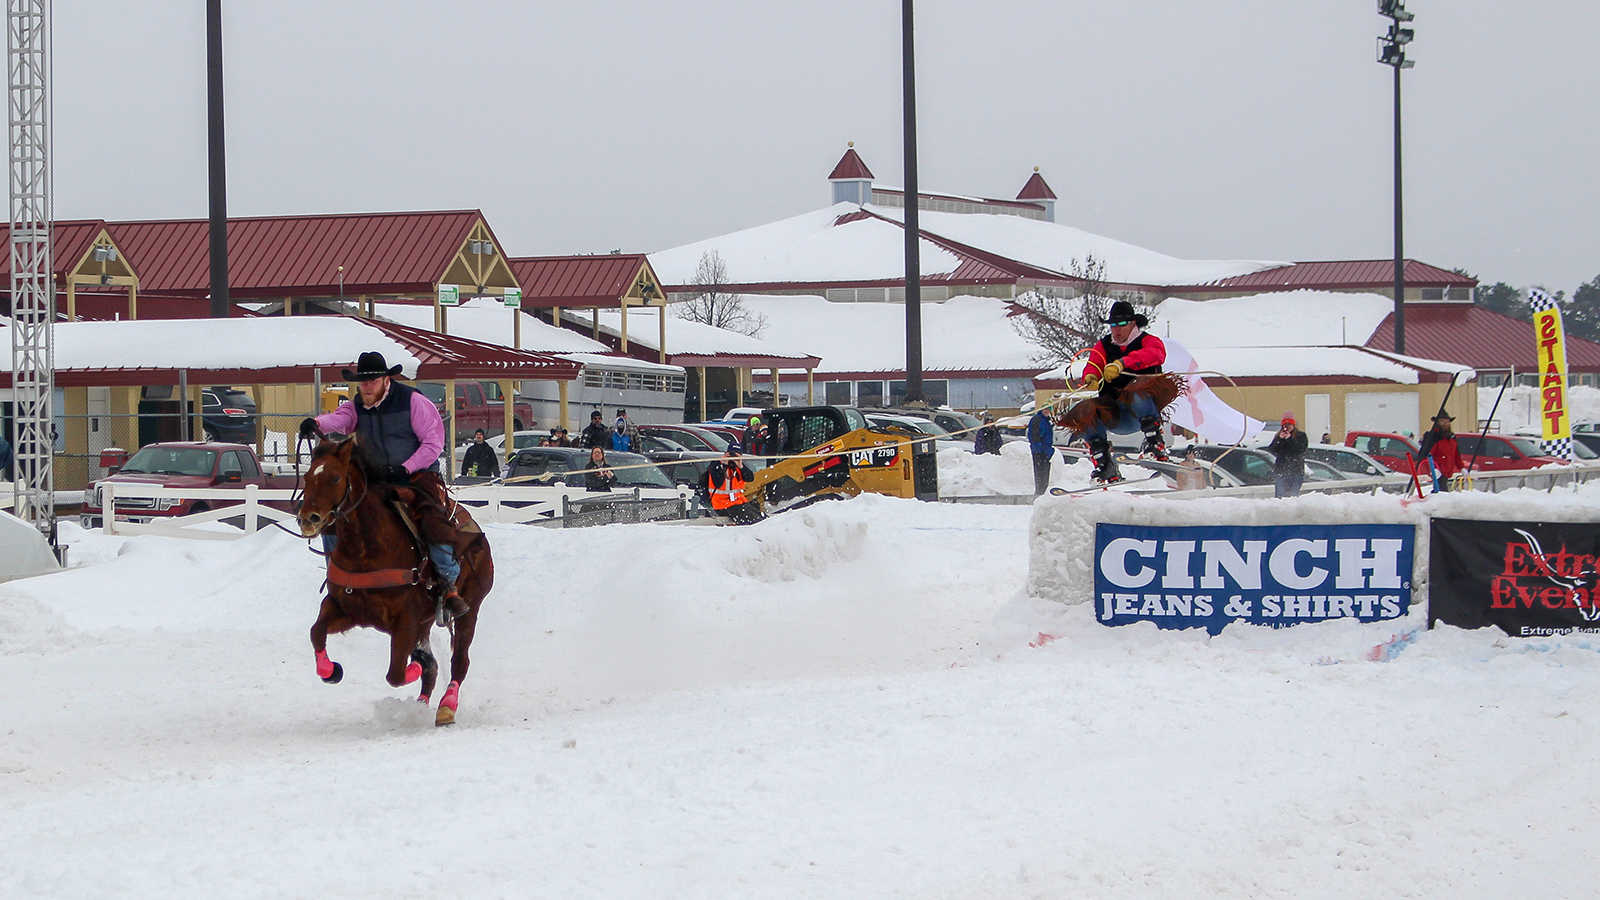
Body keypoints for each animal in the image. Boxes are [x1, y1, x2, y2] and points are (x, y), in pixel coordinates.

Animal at [296, 432, 489, 720]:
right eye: (307, 477)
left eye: (335, 478)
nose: (308, 519)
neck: (365, 551)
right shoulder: (345, 609)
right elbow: (316, 632)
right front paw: (330, 671)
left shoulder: (406, 620)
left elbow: (396, 673)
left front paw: (419, 665)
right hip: (425, 622)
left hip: (470, 609)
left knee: (459, 662)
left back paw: (446, 706)